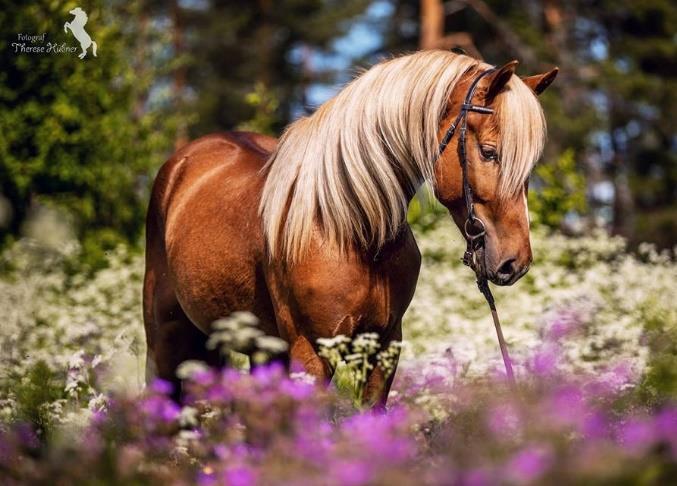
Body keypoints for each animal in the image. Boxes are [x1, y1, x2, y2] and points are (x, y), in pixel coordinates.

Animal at [144, 50, 556, 406]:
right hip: (167, 338)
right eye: (489, 152)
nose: (515, 262)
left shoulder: (383, 347)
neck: (350, 230)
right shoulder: (310, 351)